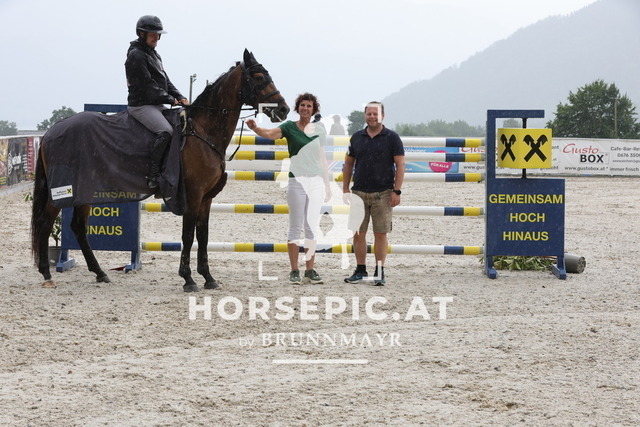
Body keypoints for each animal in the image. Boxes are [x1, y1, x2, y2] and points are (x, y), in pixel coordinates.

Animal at [31, 49, 290, 292]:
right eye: (258, 77)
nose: (284, 109)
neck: (202, 130)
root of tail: (53, 130)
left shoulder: (206, 198)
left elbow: (203, 236)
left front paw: (208, 278)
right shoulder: (192, 196)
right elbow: (188, 236)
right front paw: (188, 279)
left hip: (85, 191)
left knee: (78, 226)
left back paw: (100, 273)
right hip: (64, 192)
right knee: (45, 222)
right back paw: (46, 273)